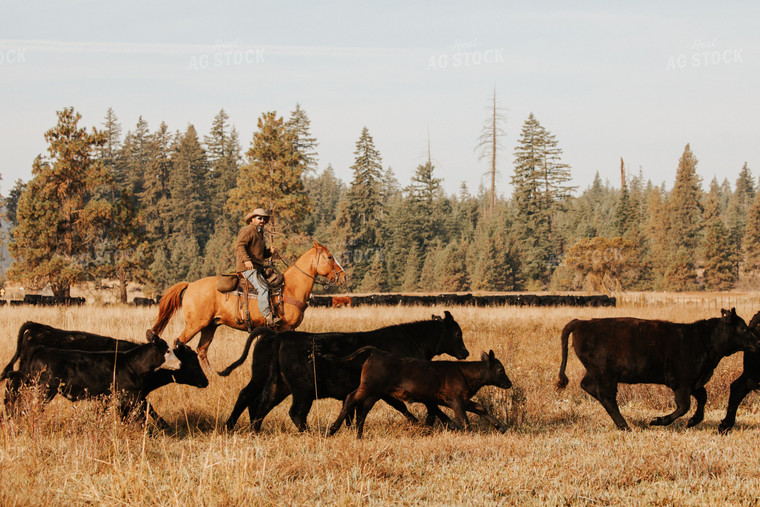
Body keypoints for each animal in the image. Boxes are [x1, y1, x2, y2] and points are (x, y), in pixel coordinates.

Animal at [152, 242, 348, 370]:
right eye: (330, 257)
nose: (344, 276)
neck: (291, 287)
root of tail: (191, 284)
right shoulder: (285, 327)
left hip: (210, 326)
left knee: (202, 350)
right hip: (195, 324)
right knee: (179, 342)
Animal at [220, 312, 470, 434]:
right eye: (458, 333)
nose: (466, 352)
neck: (410, 340)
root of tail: (281, 336)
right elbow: (420, 406)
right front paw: (442, 423)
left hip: (278, 385)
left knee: (261, 405)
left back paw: (253, 431)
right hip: (303, 390)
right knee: (293, 412)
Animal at [326, 348, 510, 438]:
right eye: (500, 369)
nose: (509, 383)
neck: (464, 373)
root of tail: (376, 353)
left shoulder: (462, 399)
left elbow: (480, 408)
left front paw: (501, 427)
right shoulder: (455, 400)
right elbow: (464, 419)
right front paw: (471, 434)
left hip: (375, 394)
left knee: (363, 410)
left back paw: (359, 435)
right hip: (368, 387)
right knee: (350, 398)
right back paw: (332, 429)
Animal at [556, 308, 756, 430]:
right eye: (742, 327)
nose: (757, 341)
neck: (703, 338)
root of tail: (583, 322)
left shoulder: (695, 383)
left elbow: (702, 398)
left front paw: (693, 421)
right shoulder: (681, 383)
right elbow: (684, 406)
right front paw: (657, 420)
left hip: (596, 373)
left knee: (589, 387)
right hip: (607, 376)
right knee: (607, 397)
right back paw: (625, 426)